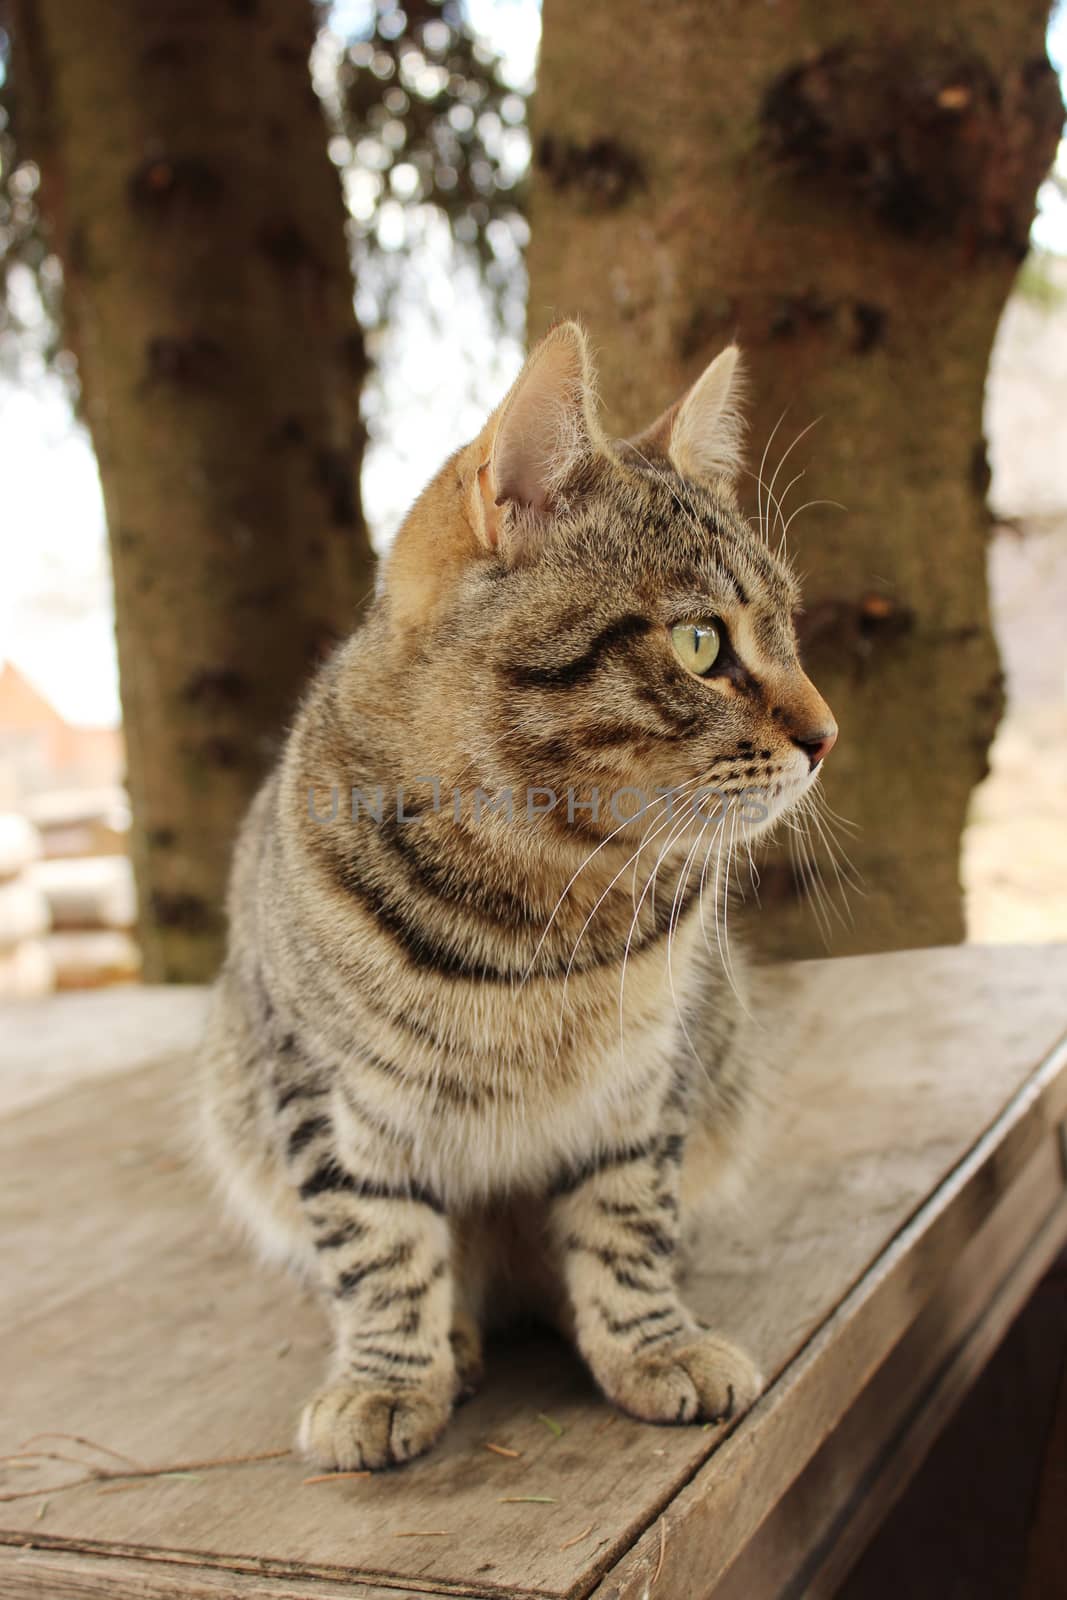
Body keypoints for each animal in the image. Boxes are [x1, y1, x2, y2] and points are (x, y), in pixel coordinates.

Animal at [198, 324, 831, 1472]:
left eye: (790, 630)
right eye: (701, 644)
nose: (826, 735)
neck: (539, 905)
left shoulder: (642, 1082)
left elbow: (625, 1220)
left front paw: (653, 1342)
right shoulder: (318, 1087)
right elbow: (377, 1245)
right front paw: (385, 1377)